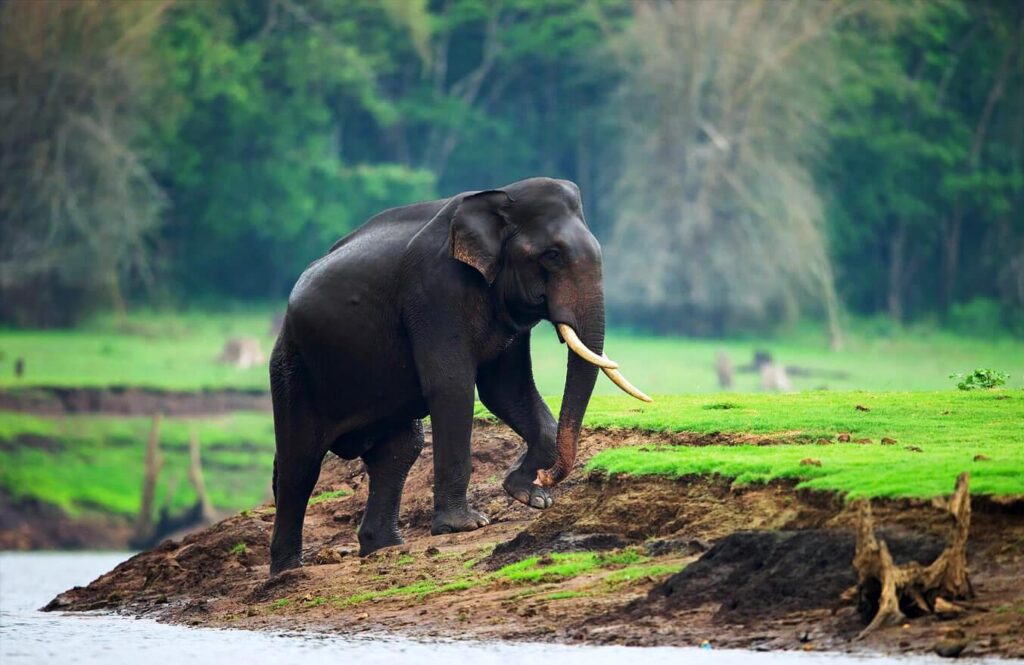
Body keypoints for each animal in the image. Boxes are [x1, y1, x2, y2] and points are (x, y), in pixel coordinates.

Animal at [268, 176, 649, 575]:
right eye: (552, 255)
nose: (547, 478)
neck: (500, 197)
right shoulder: (435, 291)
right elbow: (453, 387)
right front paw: (466, 525)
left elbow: (506, 390)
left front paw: (529, 497)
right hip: (290, 366)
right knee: (300, 463)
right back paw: (288, 569)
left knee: (399, 451)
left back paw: (384, 547)